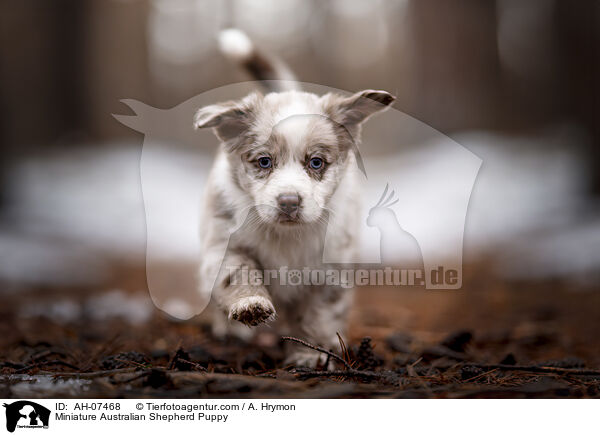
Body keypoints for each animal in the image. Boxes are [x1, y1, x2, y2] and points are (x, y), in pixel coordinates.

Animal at [195, 29, 396, 368]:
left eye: (316, 162)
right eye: (264, 162)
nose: (289, 201)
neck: (286, 235)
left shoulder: (332, 271)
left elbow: (317, 317)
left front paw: (309, 355)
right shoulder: (223, 246)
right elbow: (238, 272)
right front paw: (251, 304)